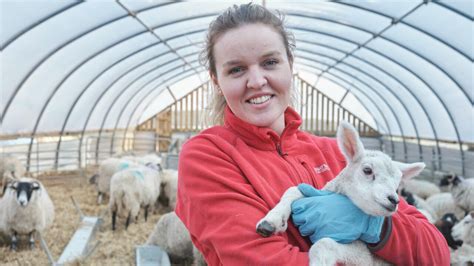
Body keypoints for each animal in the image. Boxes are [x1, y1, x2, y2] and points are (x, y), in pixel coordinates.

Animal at [256, 122, 426, 266]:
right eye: (367, 170)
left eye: (397, 182)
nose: (394, 200)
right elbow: (293, 190)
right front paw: (271, 222)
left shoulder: (363, 256)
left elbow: (324, 243)